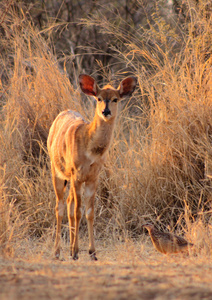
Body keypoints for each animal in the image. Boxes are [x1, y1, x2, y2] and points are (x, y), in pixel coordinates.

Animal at [47, 73, 137, 260]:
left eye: (115, 99)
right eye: (99, 98)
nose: (106, 111)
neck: (90, 149)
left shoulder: (93, 178)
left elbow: (89, 212)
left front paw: (92, 252)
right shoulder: (76, 176)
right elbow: (78, 211)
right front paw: (75, 251)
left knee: (68, 203)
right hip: (57, 173)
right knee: (60, 206)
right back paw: (58, 251)